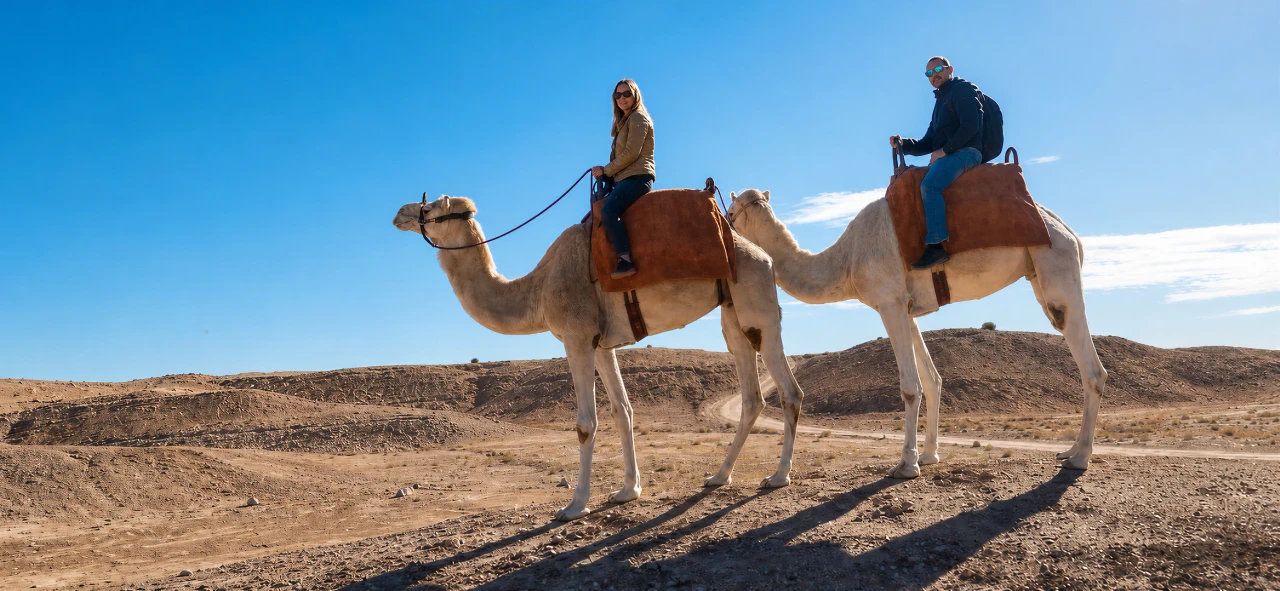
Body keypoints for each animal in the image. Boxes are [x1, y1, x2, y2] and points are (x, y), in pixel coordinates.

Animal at [393, 194, 806, 521]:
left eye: (429, 207)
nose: (398, 213)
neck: (538, 290)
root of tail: (764, 256)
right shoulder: (602, 345)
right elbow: (623, 411)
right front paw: (627, 491)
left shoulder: (576, 337)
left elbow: (585, 423)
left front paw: (575, 506)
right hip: (733, 312)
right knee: (751, 395)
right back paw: (718, 476)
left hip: (757, 304)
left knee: (790, 391)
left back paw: (778, 477)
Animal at [726, 188, 1107, 479]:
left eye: (730, 212)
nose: (727, 234)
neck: (846, 260)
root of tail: (1068, 231)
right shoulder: (906, 308)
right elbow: (932, 378)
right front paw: (928, 455)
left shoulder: (888, 302)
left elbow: (909, 385)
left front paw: (906, 465)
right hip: (1041, 274)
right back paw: (1070, 449)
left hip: (1056, 267)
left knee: (1093, 368)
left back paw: (1080, 458)